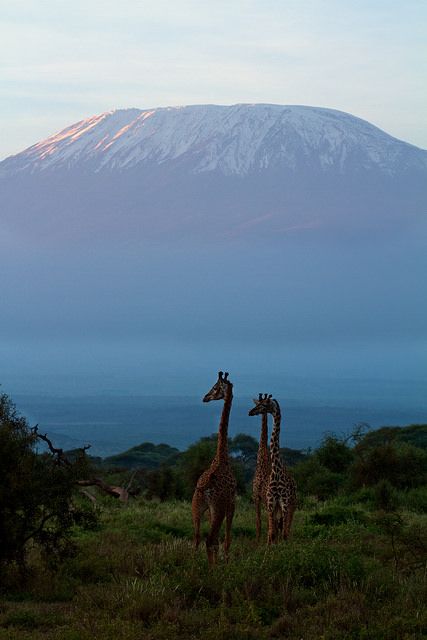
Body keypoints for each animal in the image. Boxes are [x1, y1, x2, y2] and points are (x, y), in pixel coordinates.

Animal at [247, 392, 298, 544]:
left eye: (264, 404)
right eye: (257, 403)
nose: (250, 412)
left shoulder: (284, 502)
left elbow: (282, 532)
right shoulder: (270, 502)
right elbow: (271, 532)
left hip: (292, 502)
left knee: (285, 527)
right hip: (275, 505)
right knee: (276, 527)